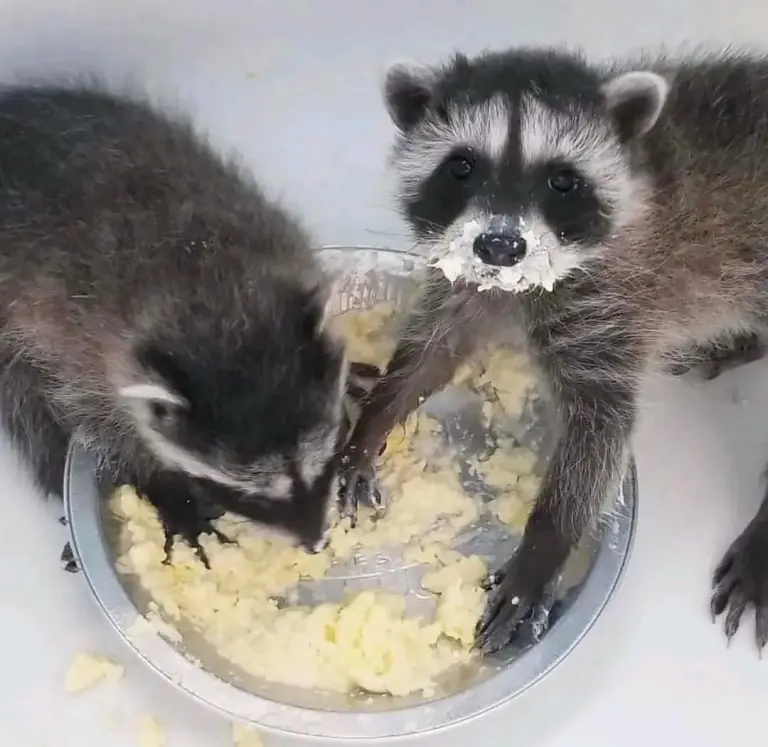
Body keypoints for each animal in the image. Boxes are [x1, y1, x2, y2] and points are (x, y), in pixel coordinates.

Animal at [0, 81, 351, 561]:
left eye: (326, 458)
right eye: (249, 495)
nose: (316, 543)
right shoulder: (83, 355)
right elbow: (102, 429)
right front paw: (164, 485)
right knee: (27, 410)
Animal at [339, 46, 768, 653]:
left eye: (563, 180)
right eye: (462, 166)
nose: (500, 245)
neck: (520, 286)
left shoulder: (610, 310)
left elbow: (601, 427)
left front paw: (545, 545)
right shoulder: (469, 280)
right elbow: (432, 352)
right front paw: (373, 418)